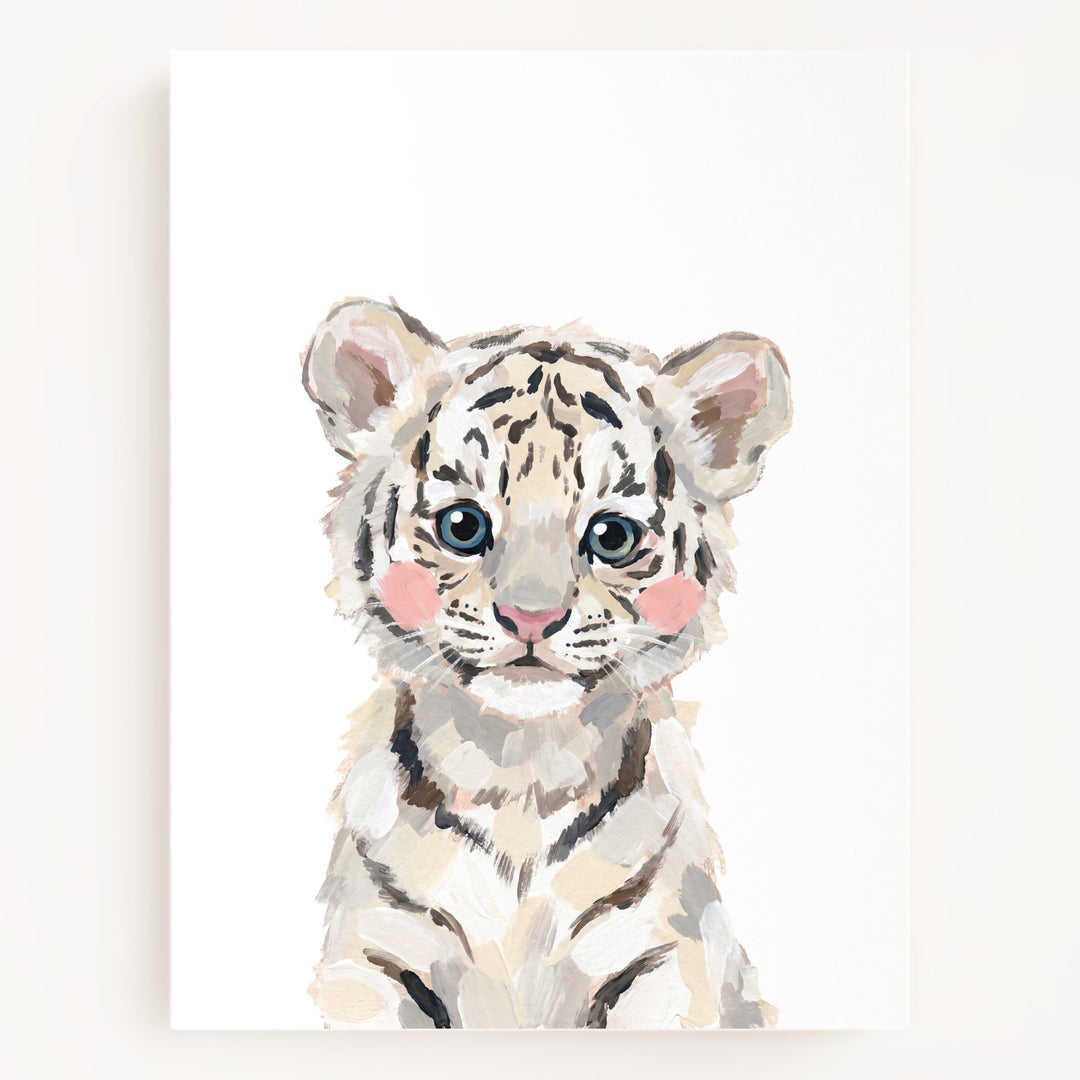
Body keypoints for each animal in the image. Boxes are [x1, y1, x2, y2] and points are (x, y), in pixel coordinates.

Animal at [301, 297, 792, 1029]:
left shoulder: (665, 963)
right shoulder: (372, 961)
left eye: (611, 536)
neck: (518, 776)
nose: (530, 617)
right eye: (463, 526)